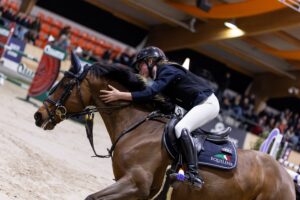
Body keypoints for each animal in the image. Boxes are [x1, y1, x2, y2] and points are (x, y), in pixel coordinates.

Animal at [33, 52, 296, 200]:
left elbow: (91, 198)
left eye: (66, 83)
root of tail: (287, 177)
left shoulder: (135, 184)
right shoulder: (136, 191)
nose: (38, 115)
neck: (136, 128)